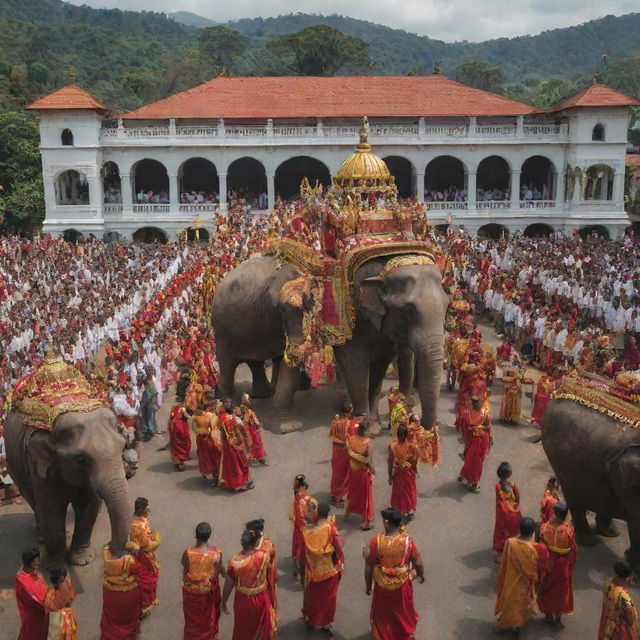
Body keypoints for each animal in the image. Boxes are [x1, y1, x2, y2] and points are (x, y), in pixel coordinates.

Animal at [5, 360, 129, 564]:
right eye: (81, 460)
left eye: (122, 447)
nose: (109, 546)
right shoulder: (39, 464)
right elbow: (51, 509)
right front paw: (55, 565)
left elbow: (89, 506)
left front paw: (82, 560)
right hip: (12, 463)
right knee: (32, 498)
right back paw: (41, 537)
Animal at [212, 250, 448, 430]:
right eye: (408, 310)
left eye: (447, 305)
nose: (414, 423)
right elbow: (352, 363)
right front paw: (289, 427)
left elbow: (378, 366)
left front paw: (372, 425)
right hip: (222, 328)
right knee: (228, 360)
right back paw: (228, 403)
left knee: (260, 359)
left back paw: (262, 395)